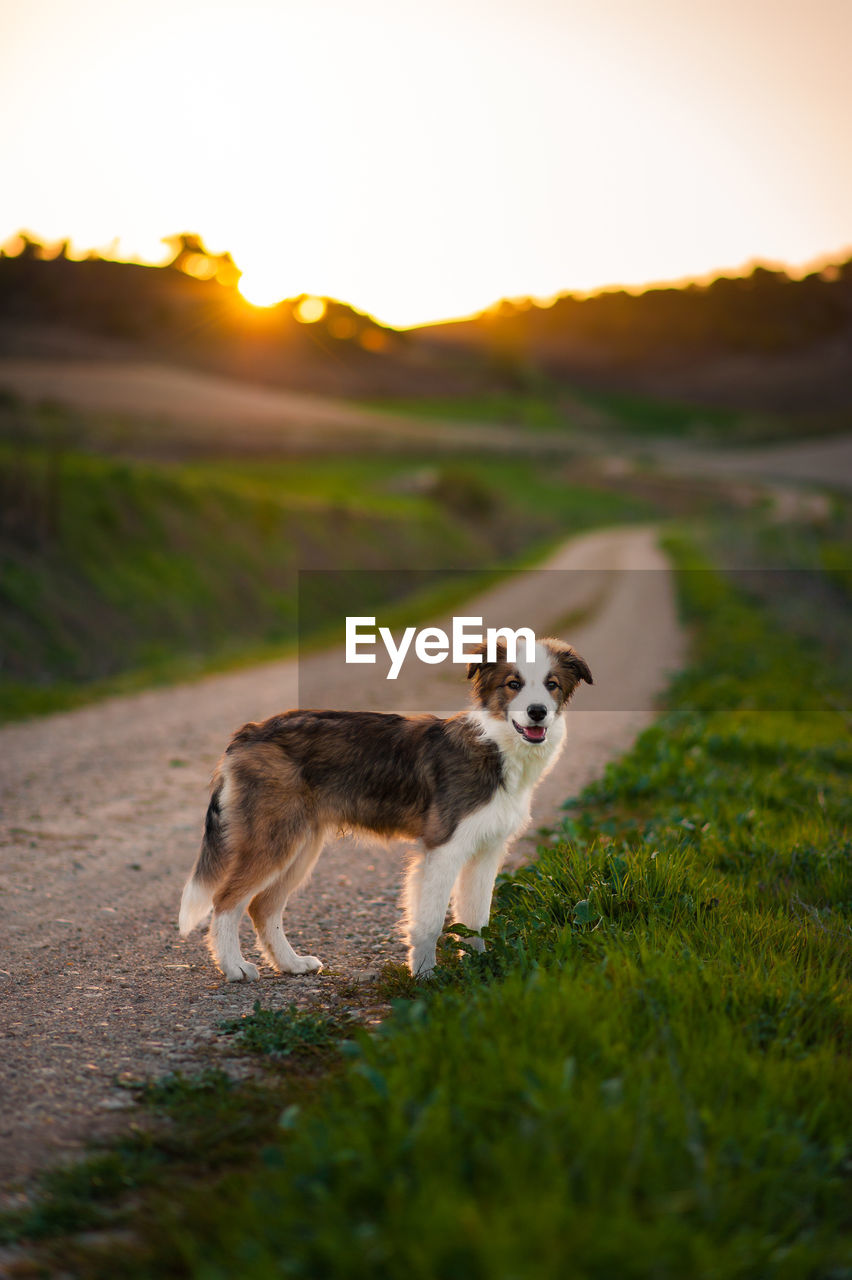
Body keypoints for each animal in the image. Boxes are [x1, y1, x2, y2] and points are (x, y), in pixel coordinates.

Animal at [179, 634, 591, 972]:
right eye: (513, 684)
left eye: (552, 685)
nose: (537, 711)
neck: (495, 746)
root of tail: (247, 734)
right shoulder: (443, 847)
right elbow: (429, 921)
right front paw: (425, 977)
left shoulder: (487, 851)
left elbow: (476, 920)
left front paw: (479, 968)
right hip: (273, 840)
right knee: (225, 901)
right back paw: (234, 968)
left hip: (301, 844)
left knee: (261, 907)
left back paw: (291, 964)